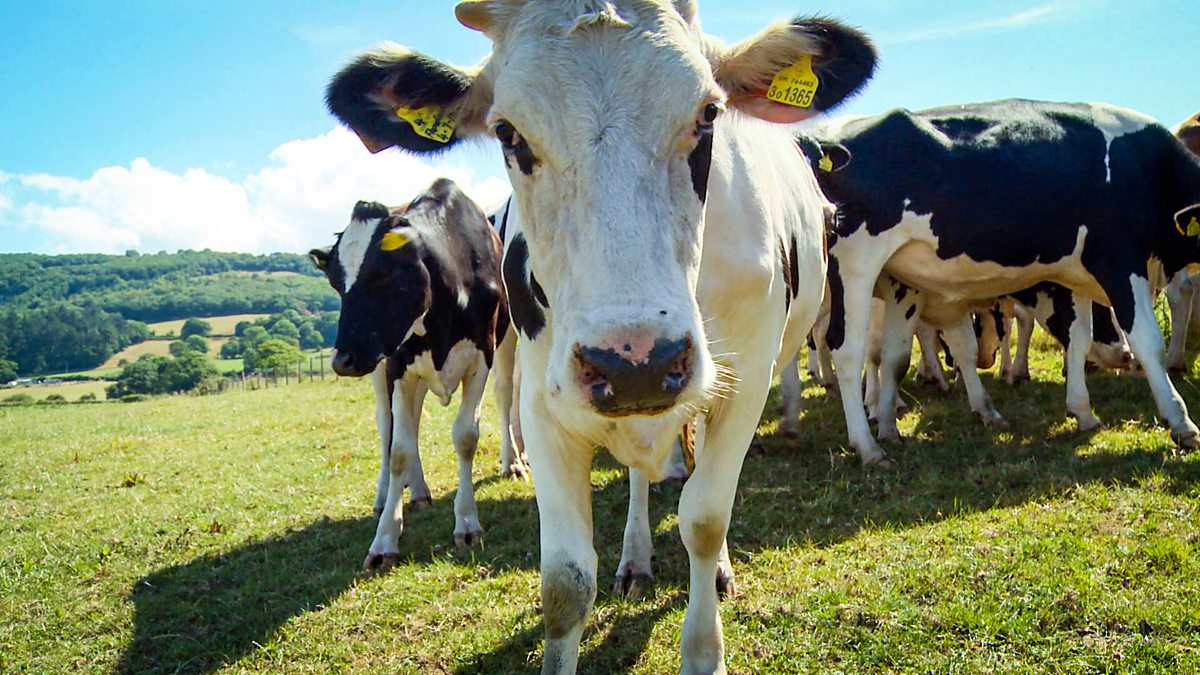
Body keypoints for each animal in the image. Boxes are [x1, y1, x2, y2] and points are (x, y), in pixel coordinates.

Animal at [309, 178, 525, 572]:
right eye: (336, 282)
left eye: (381, 275)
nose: (341, 360)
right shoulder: (397, 366)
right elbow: (399, 448)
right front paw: (384, 539)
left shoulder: (482, 354)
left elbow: (465, 436)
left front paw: (467, 522)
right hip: (384, 369)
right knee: (389, 424)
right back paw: (394, 494)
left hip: (504, 341)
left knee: (503, 393)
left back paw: (506, 463)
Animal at [808, 99, 1200, 467]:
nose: (1123, 358)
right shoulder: (1119, 260)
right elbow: (1148, 341)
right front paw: (1182, 423)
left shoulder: (1076, 276)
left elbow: (1078, 339)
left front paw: (1083, 411)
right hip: (856, 266)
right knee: (845, 348)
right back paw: (867, 445)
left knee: (892, 354)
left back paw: (890, 426)